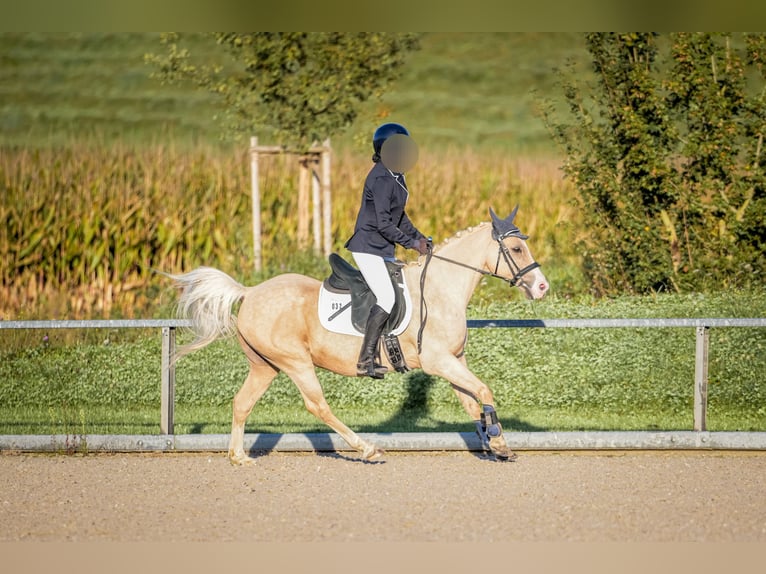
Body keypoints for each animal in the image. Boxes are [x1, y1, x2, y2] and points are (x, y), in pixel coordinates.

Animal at [168, 206, 548, 465]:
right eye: (516, 250)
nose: (542, 287)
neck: (440, 290)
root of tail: (250, 292)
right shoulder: (438, 361)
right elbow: (484, 390)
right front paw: (497, 439)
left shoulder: (455, 360)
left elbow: (472, 399)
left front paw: (496, 443)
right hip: (294, 362)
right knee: (317, 405)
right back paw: (367, 449)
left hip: (265, 366)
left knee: (242, 403)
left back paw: (238, 457)